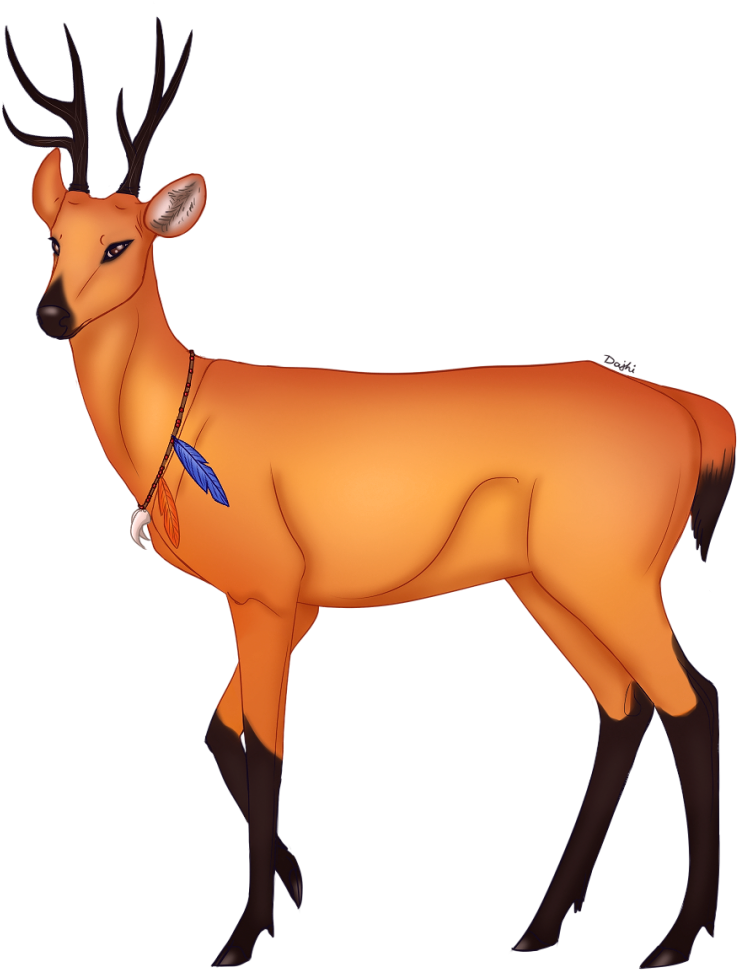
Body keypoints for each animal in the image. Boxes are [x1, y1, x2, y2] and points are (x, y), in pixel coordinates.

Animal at [4, 18, 731, 968]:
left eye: (122, 243)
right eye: (55, 241)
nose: (52, 315)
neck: (185, 415)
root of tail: (690, 413)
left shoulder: (268, 590)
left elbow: (266, 748)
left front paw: (244, 937)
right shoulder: (291, 600)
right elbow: (220, 729)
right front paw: (294, 883)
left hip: (608, 572)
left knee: (690, 700)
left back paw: (675, 941)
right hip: (545, 582)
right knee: (621, 706)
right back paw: (537, 929)